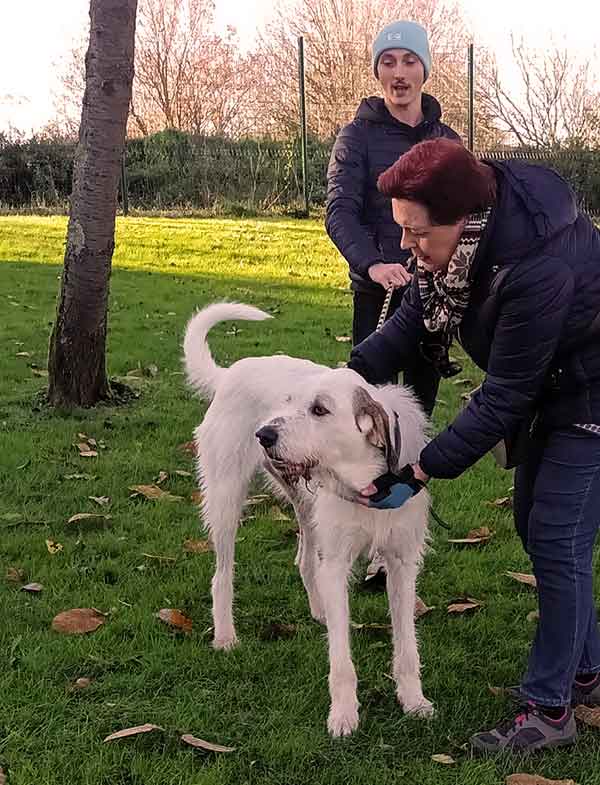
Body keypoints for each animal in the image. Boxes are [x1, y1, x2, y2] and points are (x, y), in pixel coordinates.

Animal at [185, 302, 434, 736]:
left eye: (320, 409)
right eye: (287, 402)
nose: (264, 435)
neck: (368, 481)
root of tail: (231, 373)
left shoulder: (402, 564)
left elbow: (407, 646)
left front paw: (413, 700)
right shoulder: (336, 564)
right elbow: (341, 660)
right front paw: (344, 714)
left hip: (307, 509)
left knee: (304, 561)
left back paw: (319, 611)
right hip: (226, 501)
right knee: (222, 575)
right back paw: (226, 636)